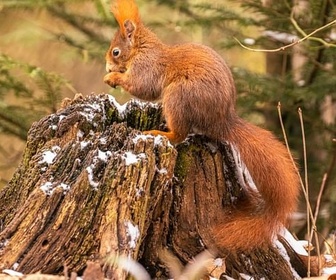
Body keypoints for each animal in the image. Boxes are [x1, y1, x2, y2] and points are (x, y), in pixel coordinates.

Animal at [103, 0, 300, 252]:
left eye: (116, 52)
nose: (108, 67)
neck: (141, 49)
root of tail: (221, 121)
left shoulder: (146, 68)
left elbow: (141, 87)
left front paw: (114, 79)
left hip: (178, 96)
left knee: (180, 134)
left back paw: (161, 132)